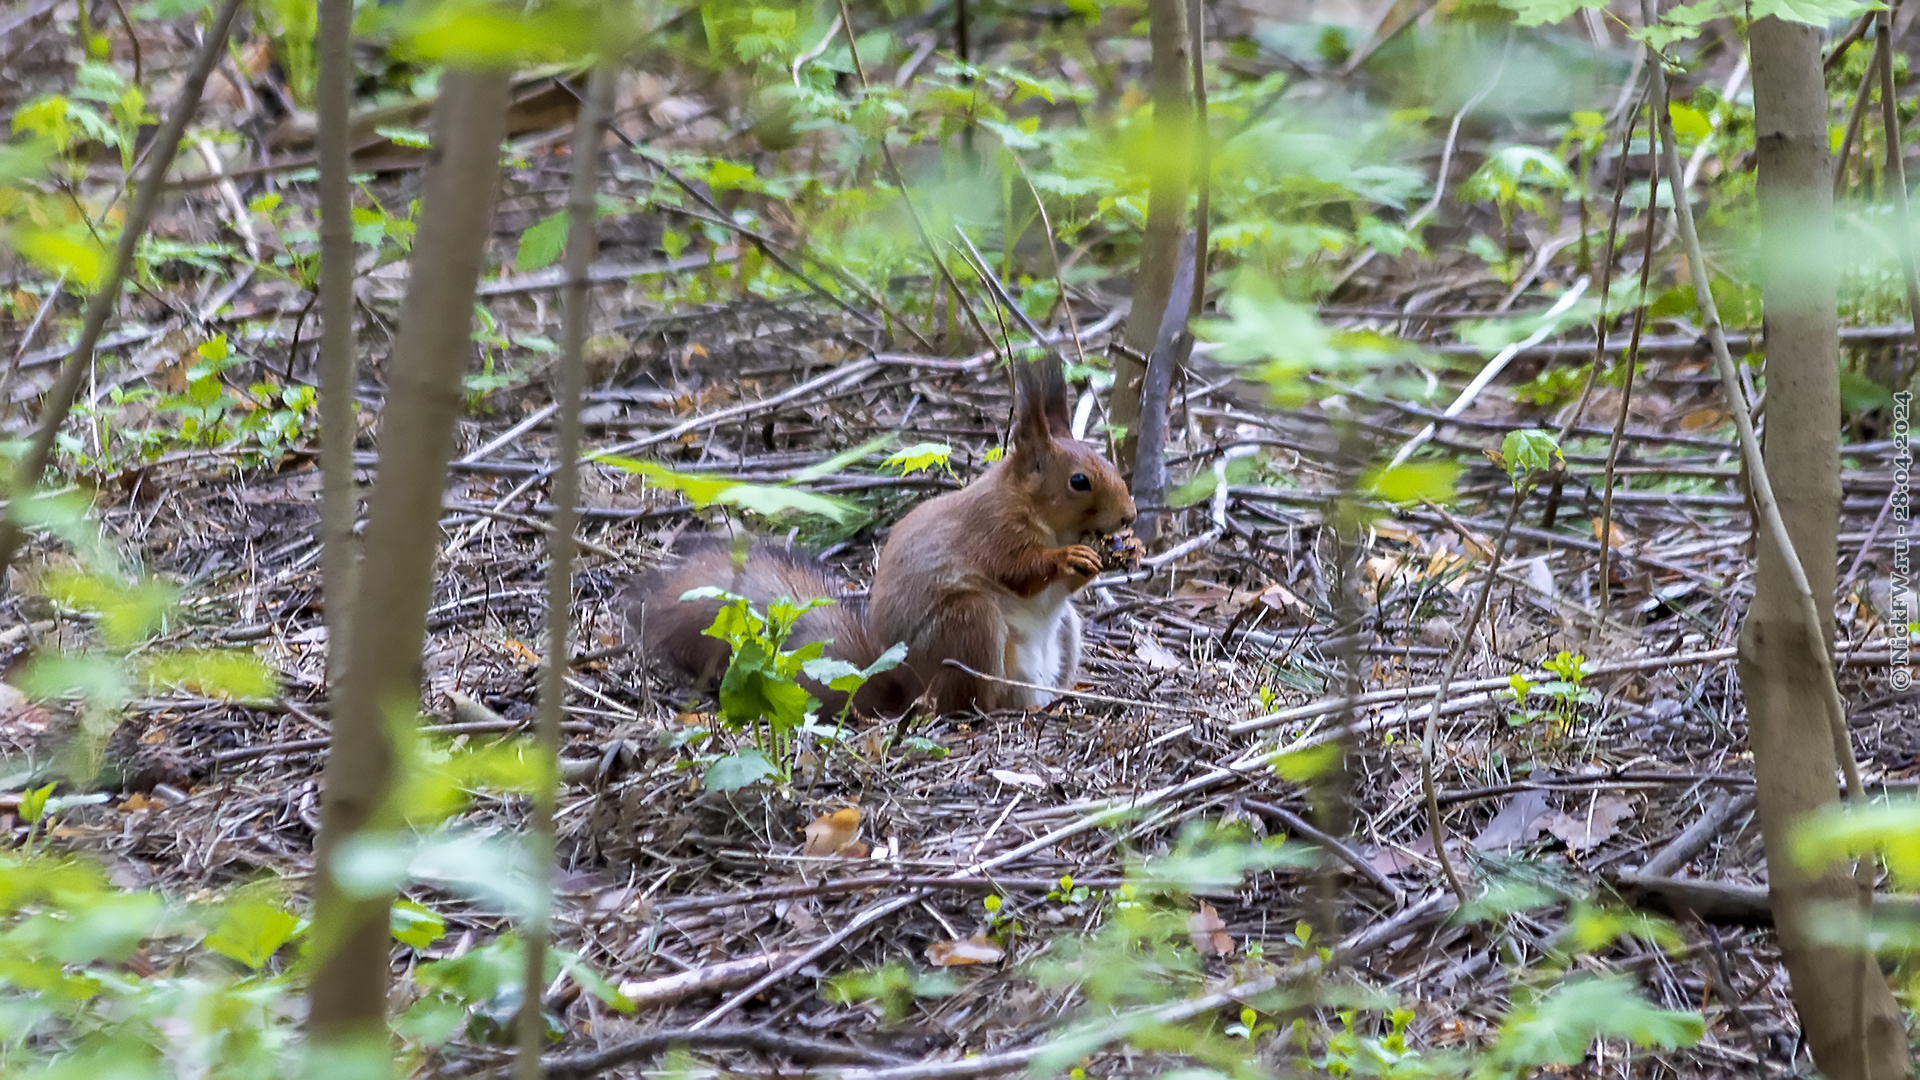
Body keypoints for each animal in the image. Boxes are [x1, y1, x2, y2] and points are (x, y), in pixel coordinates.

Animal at [629, 353, 1136, 718]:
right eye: (1078, 481)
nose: (1130, 516)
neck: (1040, 515)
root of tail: (908, 692)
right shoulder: (992, 532)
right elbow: (1019, 571)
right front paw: (1068, 557)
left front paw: (1118, 553)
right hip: (969, 625)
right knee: (967, 703)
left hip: (1065, 632)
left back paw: (1060, 697)